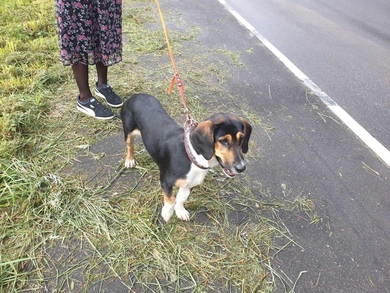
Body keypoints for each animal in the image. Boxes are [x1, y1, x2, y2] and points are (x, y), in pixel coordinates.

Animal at [119, 93, 253, 221]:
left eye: (241, 139)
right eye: (223, 141)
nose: (242, 168)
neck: (192, 157)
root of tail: (135, 96)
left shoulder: (189, 185)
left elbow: (181, 199)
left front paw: (180, 212)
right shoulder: (165, 181)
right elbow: (171, 200)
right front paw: (167, 214)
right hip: (128, 132)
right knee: (130, 146)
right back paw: (130, 160)